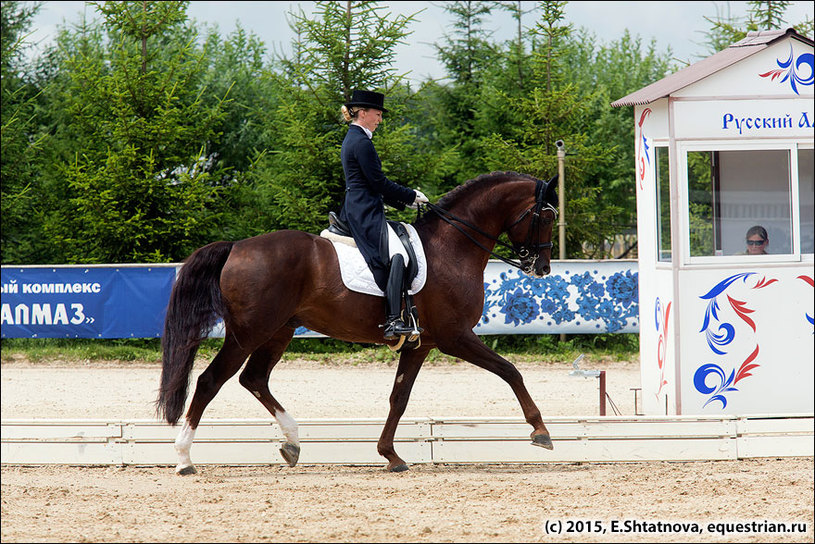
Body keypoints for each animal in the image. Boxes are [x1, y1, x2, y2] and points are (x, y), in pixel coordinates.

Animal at [155, 169, 556, 472]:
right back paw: (184, 458)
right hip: (249, 332)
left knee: (253, 378)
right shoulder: (454, 336)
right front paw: (540, 431)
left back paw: (292, 443)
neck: (452, 247)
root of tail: (237, 246)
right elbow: (510, 371)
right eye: (547, 216)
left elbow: (399, 398)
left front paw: (390, 455)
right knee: (210, 381)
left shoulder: (421, 343)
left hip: (279, 330)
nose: (542, 268)